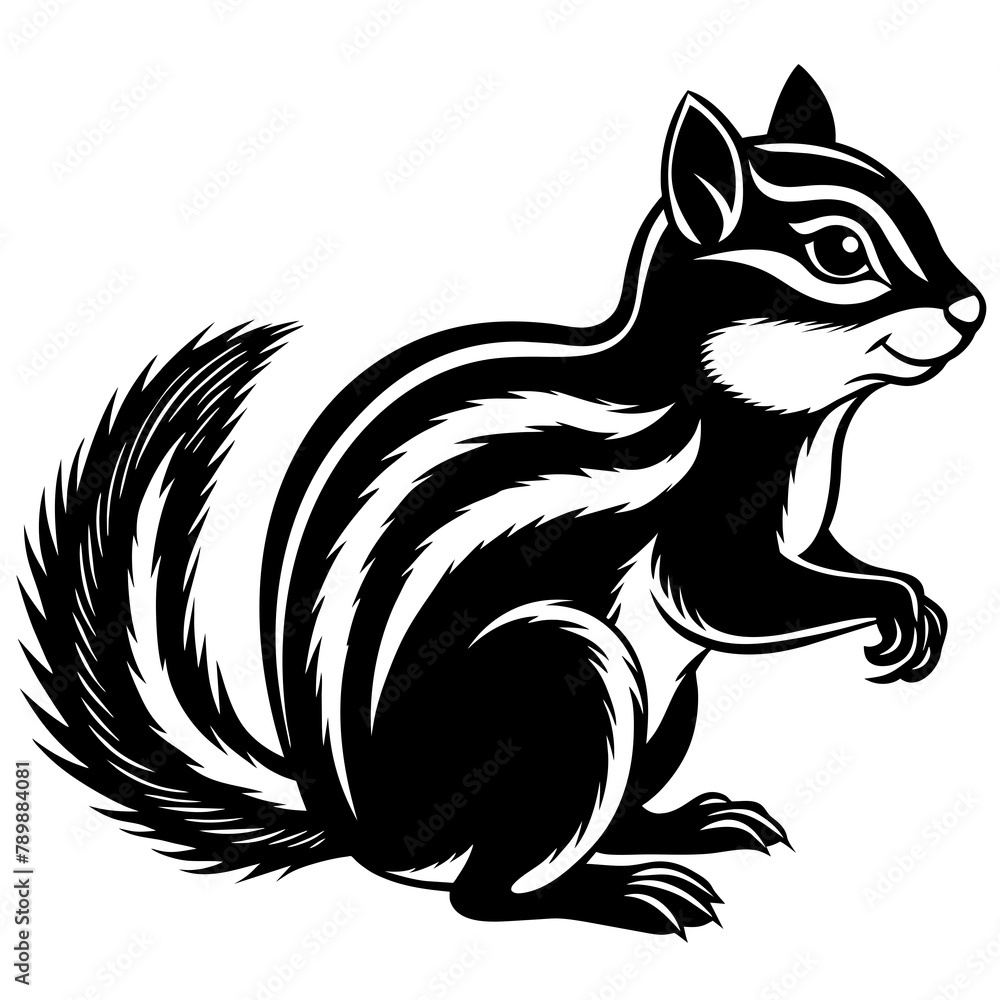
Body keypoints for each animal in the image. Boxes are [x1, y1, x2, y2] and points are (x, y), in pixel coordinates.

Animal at [21, 67, 985, 937]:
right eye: (840, 254)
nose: (972, 308)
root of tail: (363, 829)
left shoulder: (798, 527)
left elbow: (815, 563)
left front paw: (913, 603)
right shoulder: (708, 521)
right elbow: (730, 596)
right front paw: (888, 603)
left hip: (662, 711)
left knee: (601, 816)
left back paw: (684, 825)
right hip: (561, 678)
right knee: (482, 893)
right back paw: (619, 895)